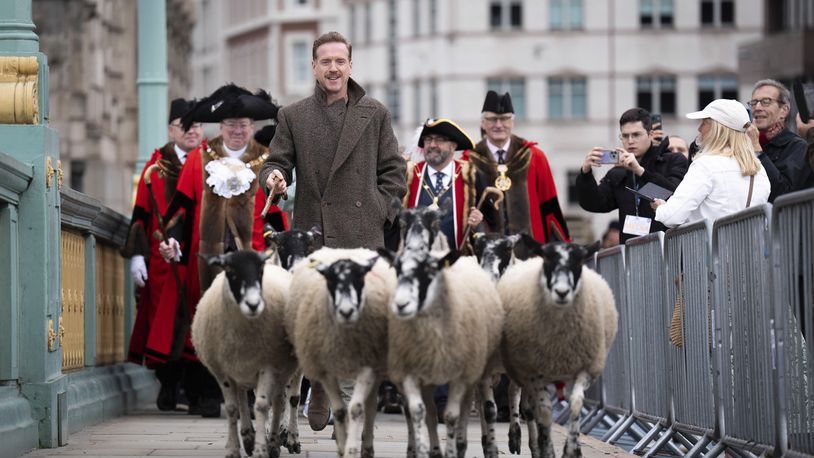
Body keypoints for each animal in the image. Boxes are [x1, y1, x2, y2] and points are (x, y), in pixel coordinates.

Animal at [191, 250, 300, 458]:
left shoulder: (268, 365)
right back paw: (252, 436)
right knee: (252, 398)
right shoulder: (226, 370)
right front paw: (237, 447)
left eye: (259, 271)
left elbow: (266, 405)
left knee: (287, 400)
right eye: (230, 271)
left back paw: (286, 439)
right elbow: (234, 407)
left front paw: (264, 448)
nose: (253, 304)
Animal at [498, 240, 620, 458]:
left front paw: (572, 449)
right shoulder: (535, 372)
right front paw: (547, 449)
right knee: (516, 396)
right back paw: (519, 437)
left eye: (579, 261)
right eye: (548, 260)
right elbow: (544, 412)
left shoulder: (586, 368)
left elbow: (576, 404)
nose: (562, 292)